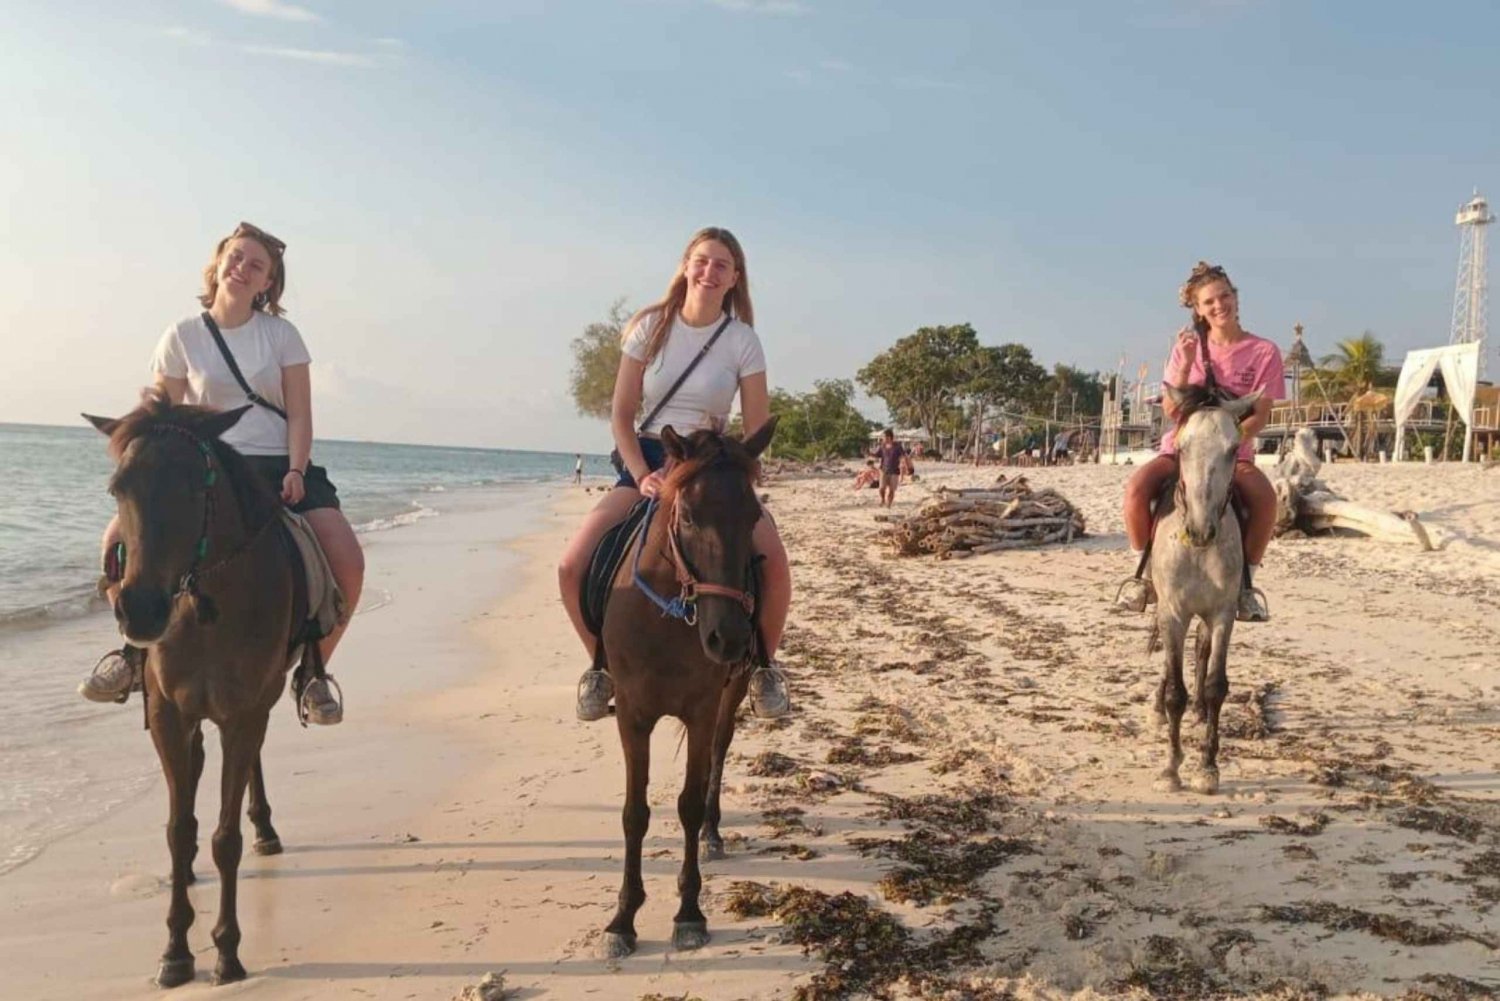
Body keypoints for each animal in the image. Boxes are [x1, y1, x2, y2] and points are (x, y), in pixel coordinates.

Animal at [87, 396, 301, 984]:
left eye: (193, 486)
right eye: (118, 487)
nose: (140, 609)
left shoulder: (244, 711)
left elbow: (225, 838)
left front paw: (226, 950)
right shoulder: (167, 714)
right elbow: (179, 827)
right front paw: (175, 951)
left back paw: (265, 828)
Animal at [597, 417, 780, 960]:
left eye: (753, 515)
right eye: (691, 517)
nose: (729, 638)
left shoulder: (700, 710)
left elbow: (689, 803)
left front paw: (689, 913)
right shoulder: (632, 714)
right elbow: (634, 813)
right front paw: (623, 919)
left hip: (731, 692)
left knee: (721, 751)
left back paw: (714, 834)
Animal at [1152, 387, 1260, 792]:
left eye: (1232, 449)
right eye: (1182, 448)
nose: (1200, 530)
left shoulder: (1222, 614)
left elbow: (1215, 685)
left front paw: (1207, 767)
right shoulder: (1172, 612)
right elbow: (1174, 691)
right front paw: (1171, 768)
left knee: (1200, 649)